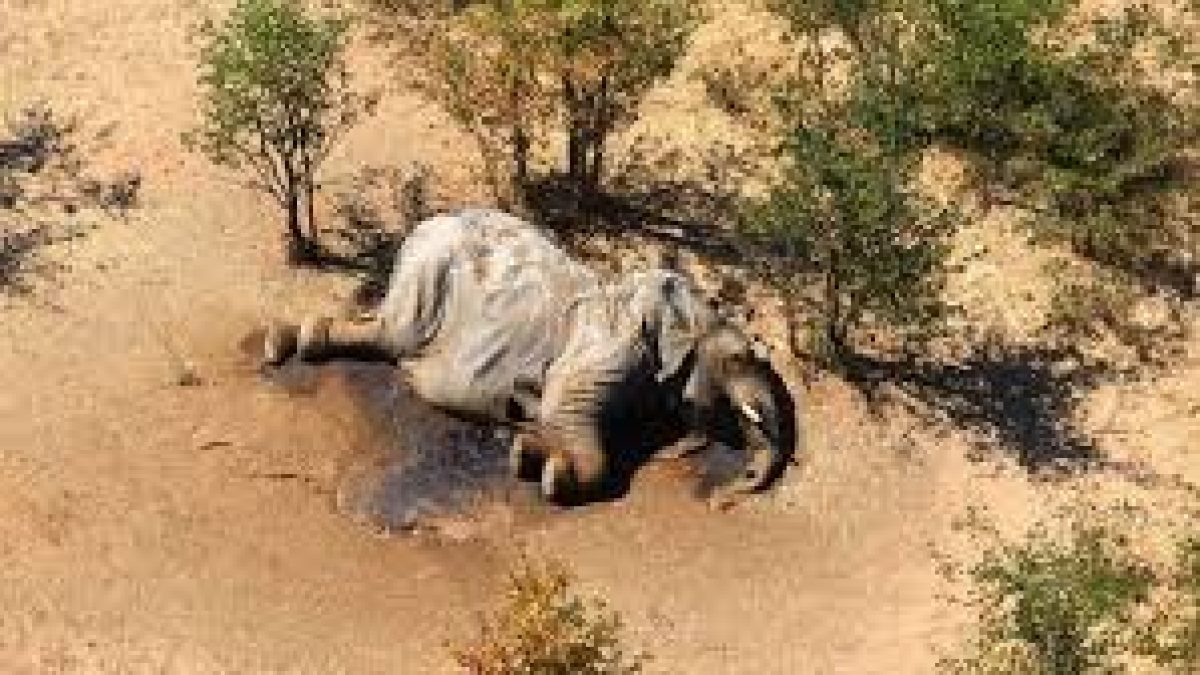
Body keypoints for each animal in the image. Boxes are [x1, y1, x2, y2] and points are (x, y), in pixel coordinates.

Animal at [263, 209, 795, 507]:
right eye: (739, 357)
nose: (728, 497)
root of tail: (423, 225)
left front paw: (526, 442)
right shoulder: (609, 348)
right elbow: (566, 409)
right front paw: (543, 469)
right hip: (429, 278)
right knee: (393, 336)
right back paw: (284, 344)